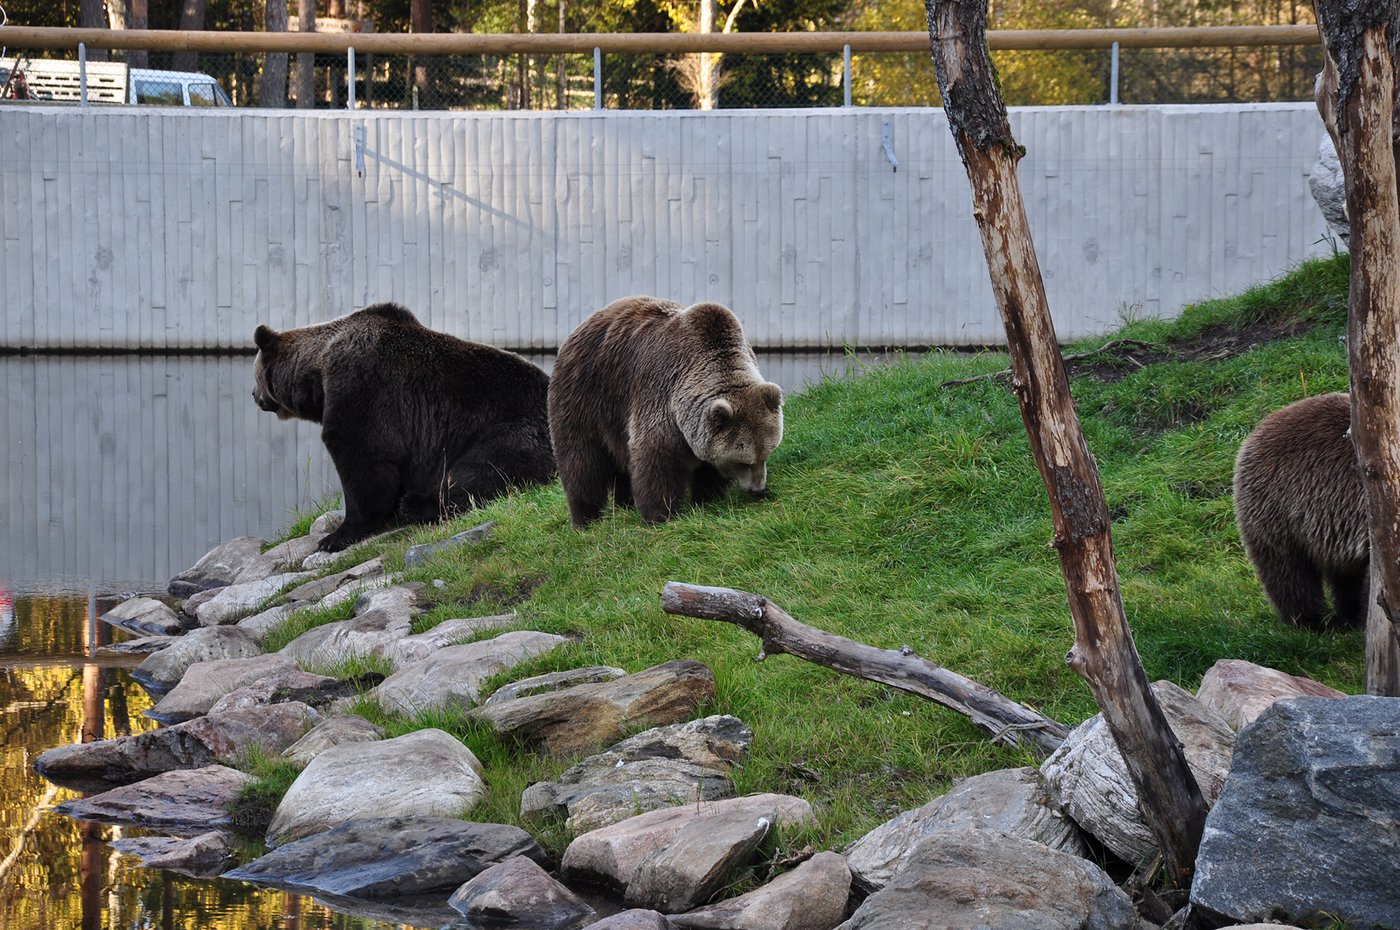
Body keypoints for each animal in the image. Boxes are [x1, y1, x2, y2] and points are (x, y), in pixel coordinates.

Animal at [249, 305, 554, 551]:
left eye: (256, 376)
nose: (254, 395)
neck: (319, 373)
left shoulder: (361, 386)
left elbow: (363, 456)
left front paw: (336, 536)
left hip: (514, 431)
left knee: (482, 470)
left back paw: (417, 504)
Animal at [548, 298, 789, 529]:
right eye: (743, 462)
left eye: (766, 454)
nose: (758, 490)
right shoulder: (661, 393)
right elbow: (657, 459)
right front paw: (661, 514)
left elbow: (708, 468)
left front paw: (707, 498)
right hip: (586, 395)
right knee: (582, 461)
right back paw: (585, 518)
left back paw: (625, 504)